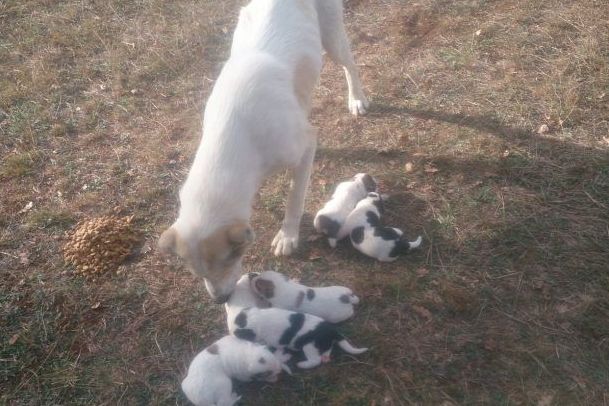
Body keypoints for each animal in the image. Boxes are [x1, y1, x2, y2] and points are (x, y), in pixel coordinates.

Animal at [158, 0, 366, 302]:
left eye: (231, 258)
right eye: (198, 274)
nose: (220, 299)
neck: (235, 132)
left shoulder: (305, 145)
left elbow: (294, 197)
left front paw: (288, 236)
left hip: (333, 40)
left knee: (350, 65)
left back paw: (357, 99)